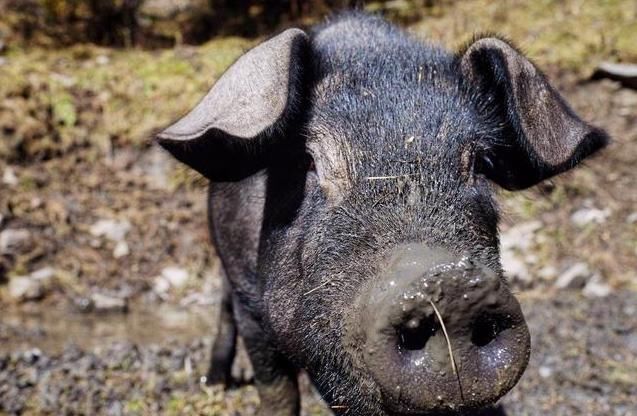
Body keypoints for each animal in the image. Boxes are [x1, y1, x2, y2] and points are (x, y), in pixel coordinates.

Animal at [155, 11, 608, 414]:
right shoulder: (252, 304)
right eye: (307, 162)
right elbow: (278, 391)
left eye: (479, 164)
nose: (448, 284)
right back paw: (215, 381)